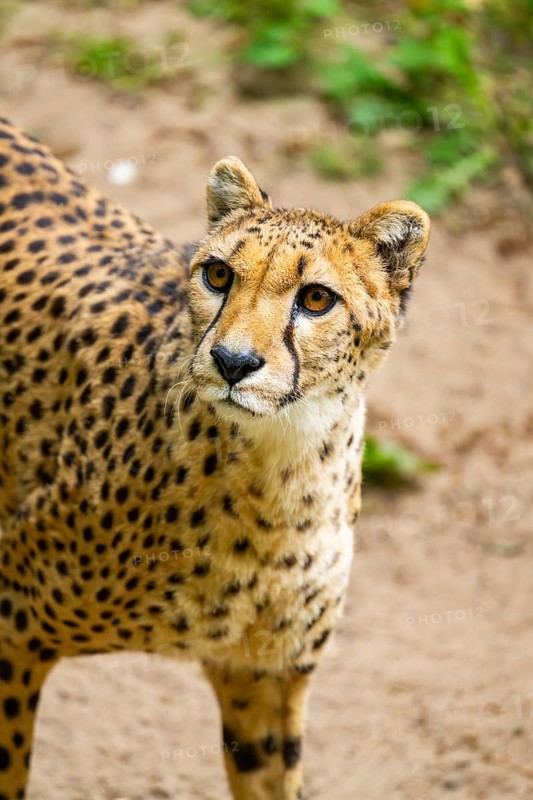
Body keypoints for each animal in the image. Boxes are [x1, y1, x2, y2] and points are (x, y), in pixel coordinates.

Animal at [0, 117, 430, 800]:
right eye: (218, 276)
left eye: (316, 299)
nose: (232, 362)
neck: (282, 472)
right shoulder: (13, 629)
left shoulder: (264, 676)